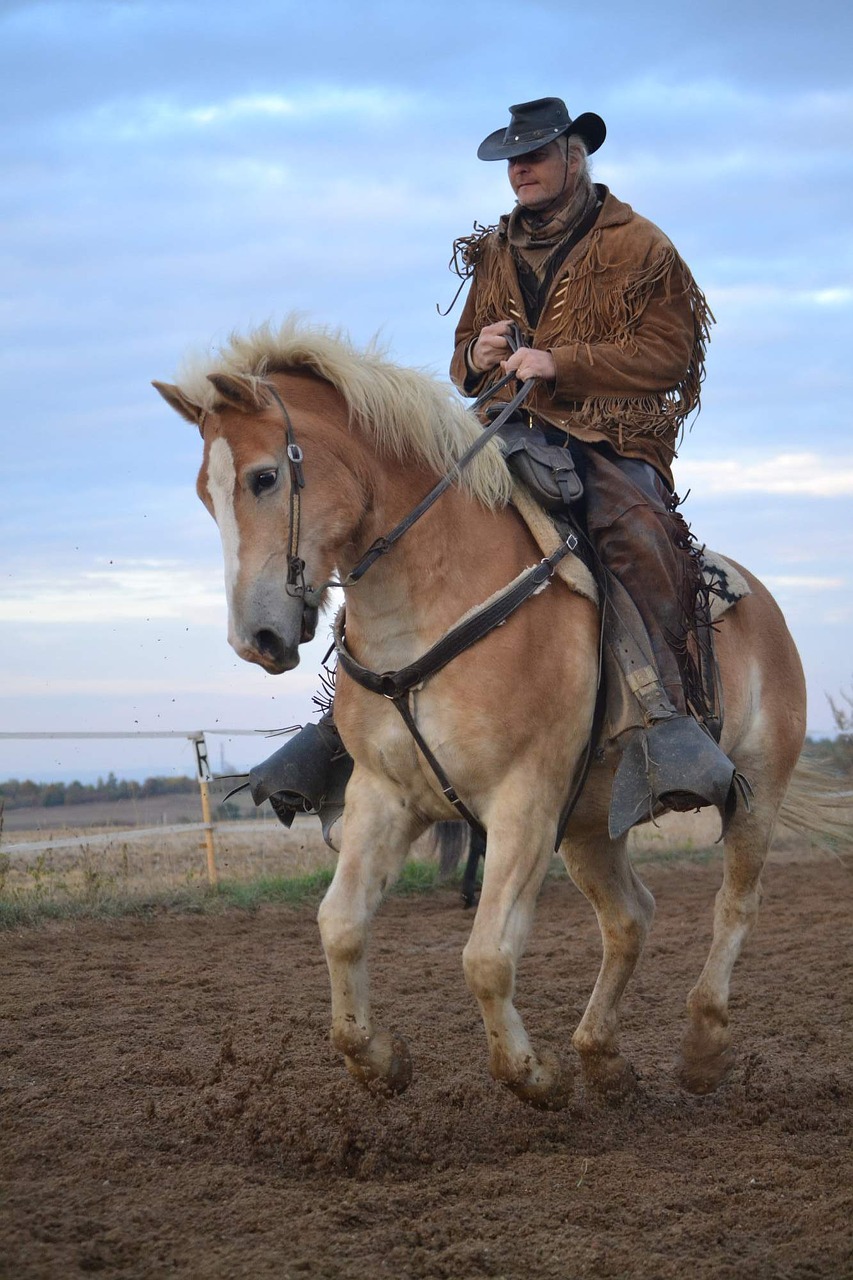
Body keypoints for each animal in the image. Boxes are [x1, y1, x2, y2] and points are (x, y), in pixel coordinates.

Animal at [153, 320, 809, 1111]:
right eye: (205, 495)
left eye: (263, 478)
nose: (257, 639)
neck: (433, 600)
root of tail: (763, 602)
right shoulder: (383, 796)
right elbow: (339, 925)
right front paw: (378, 1059)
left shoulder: (523, 801)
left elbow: (487, 956)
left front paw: (533, 1076)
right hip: (591, 824)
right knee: (630, 917)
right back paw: (601, 1057)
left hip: (755, 788)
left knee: (733, 907)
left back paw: (702, 1048)